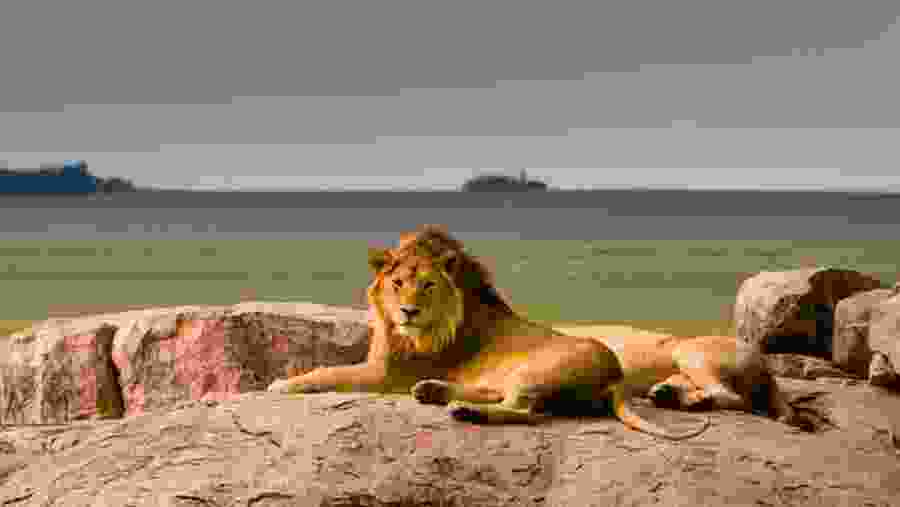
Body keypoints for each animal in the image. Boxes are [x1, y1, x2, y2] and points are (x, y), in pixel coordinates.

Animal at [267, 225, 805, 439]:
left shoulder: (383, 374)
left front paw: (279, 383)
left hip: (548, 367)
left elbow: (324, 371)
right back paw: (436, 392)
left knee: (528, 410)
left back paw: (461, 410)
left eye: (427, 284)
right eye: (398, 282)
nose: (408, 311)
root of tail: (612, 375)